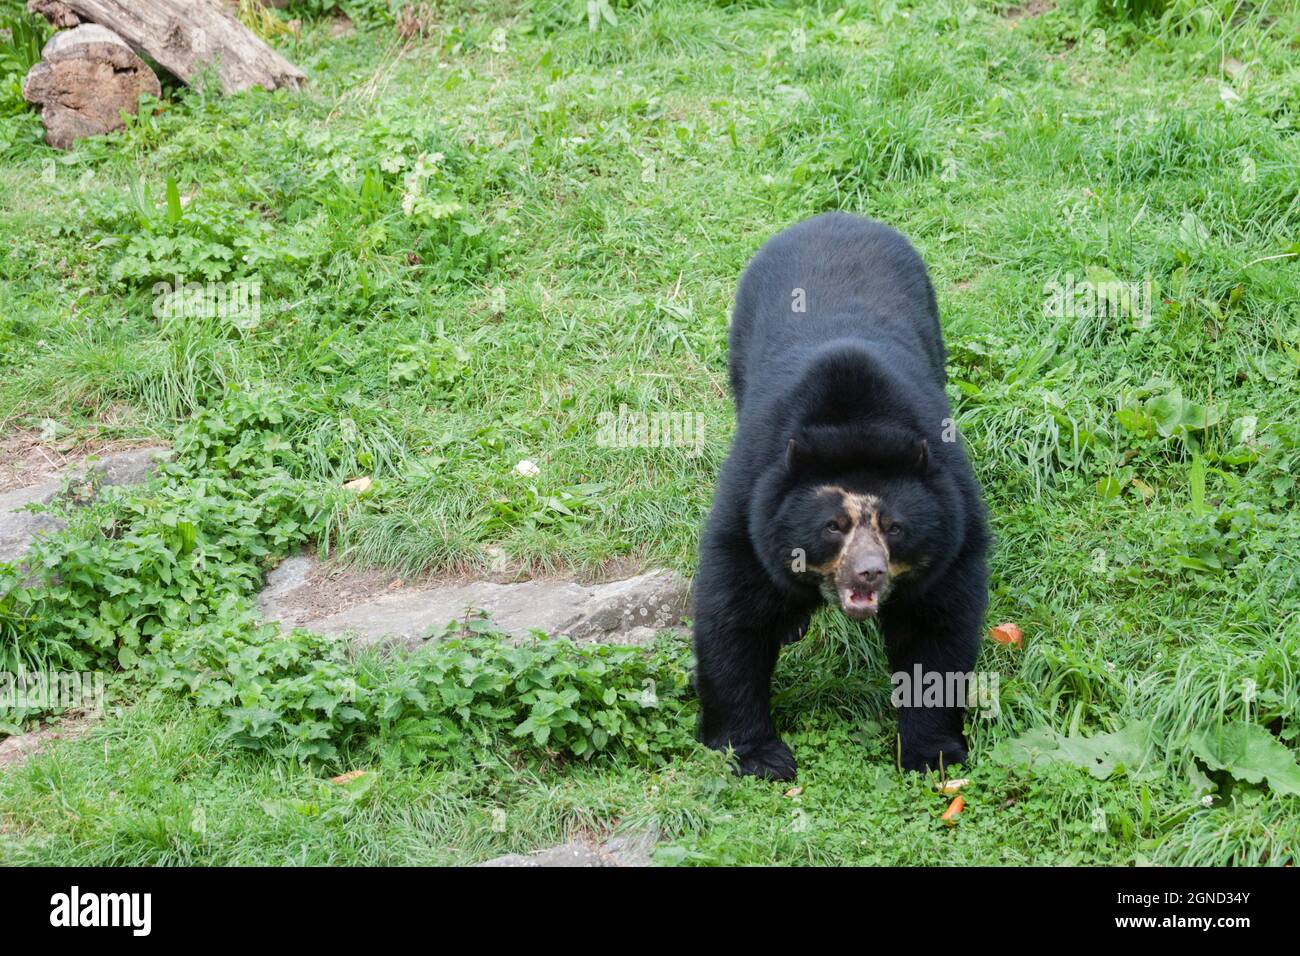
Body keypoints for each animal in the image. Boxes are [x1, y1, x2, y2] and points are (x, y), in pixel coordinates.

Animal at [696, 213, 987, 780]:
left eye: (894, 527)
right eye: (833, 525)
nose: (869, 572)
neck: (856, 422)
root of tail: (834, 217)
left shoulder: (954, 514)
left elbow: (940, 627)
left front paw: (932, 751)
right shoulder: (752, 500)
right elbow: (733, 614)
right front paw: (759, 755)